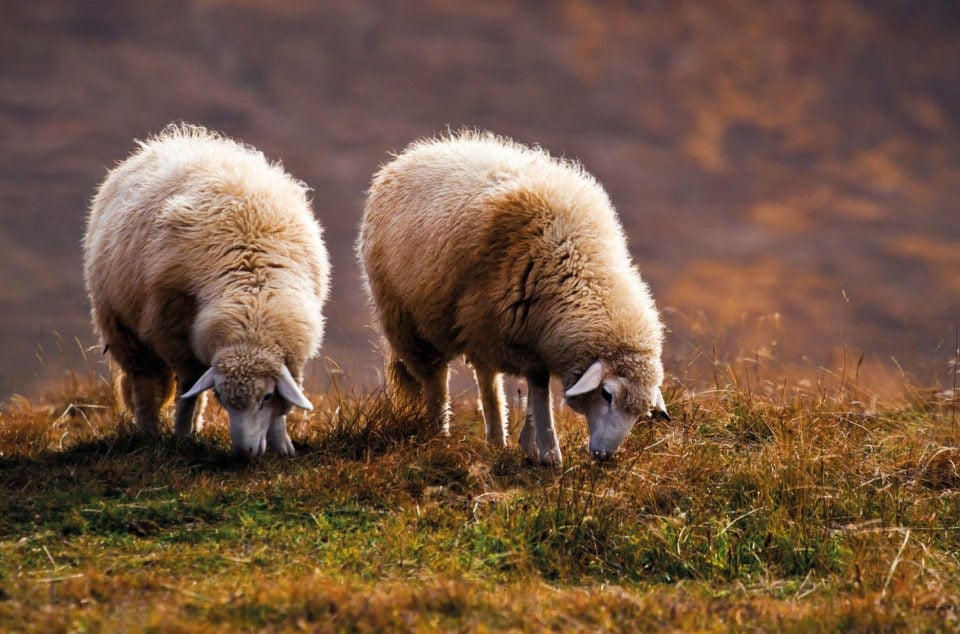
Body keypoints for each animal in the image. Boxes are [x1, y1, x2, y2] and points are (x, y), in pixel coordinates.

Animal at [83, 122, 330, 454]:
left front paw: (281, 445)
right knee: (146, 385)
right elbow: (188, 390)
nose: (243, 454)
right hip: (123, 329)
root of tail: (169, 141)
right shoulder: (174, 332)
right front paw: (181, 435)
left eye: (265, 397)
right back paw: (150, 434)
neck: (253, 296)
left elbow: (278, 406)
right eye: (223, 400)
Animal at [358, 130, 668, 464]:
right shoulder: (516, 336)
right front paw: (549, 452)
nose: (604, 455)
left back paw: (496, 438)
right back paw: (441, 434)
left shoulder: (530, 334)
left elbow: (534, 387)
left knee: (486, 379)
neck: (576, 265)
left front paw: (530, 444)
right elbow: (539, 386)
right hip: (413, 323)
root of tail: (412, 154)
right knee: (437, 382)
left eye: (640, 412)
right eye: (606, 394)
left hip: (475, 325)